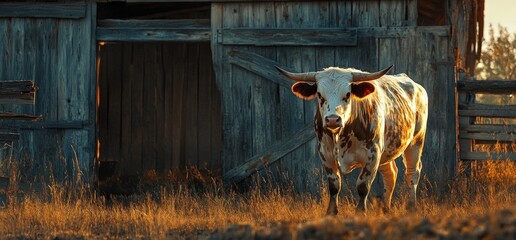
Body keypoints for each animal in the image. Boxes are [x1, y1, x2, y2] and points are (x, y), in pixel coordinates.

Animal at [276, 64, 430, 215]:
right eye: (319, 94)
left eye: (348, 94)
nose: (333, 119)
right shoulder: (325, 153)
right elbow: (334, 185)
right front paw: (331, 213)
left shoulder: (372, 155)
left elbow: (362, 186)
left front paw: (361, 212)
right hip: (385, 152)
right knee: (391, 174)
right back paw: (385, 209)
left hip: (416, 141)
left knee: (412, 173)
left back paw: (411, 207)